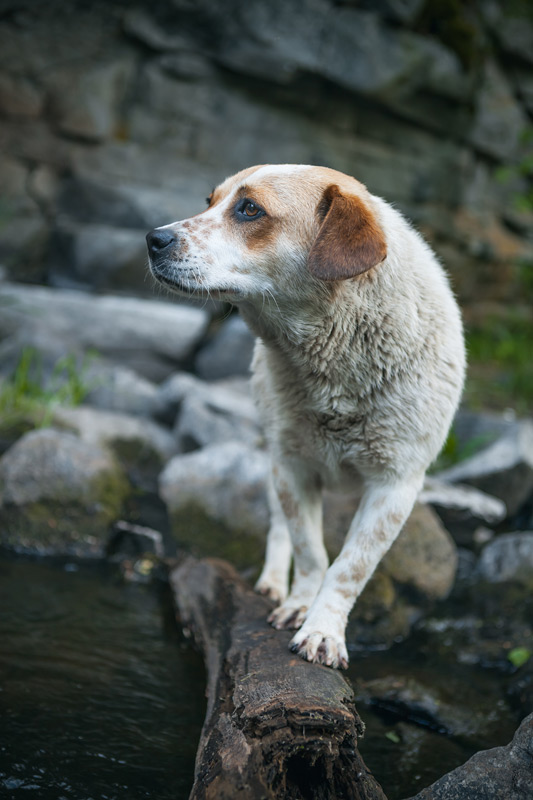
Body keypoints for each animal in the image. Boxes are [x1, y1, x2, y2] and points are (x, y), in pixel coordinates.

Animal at [147, 166, 466, 672]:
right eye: (210, 201)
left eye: (249, 209)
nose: (153, 239)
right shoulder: (293, 468)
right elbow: (310, 550)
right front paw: (300, 606)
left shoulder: (395, 485)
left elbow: (350, 567)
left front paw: (322, 632)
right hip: (275, 457)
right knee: (280, 528)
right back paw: (274, 583)